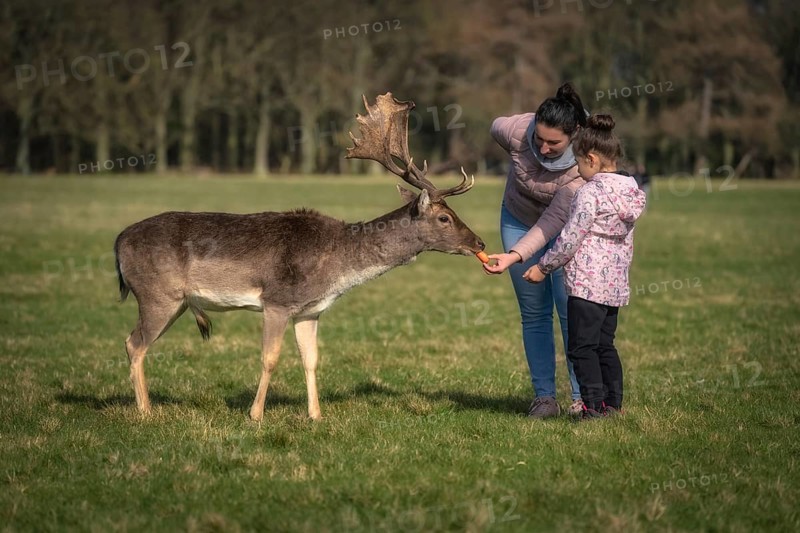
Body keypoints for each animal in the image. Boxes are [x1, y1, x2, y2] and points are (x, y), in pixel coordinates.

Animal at [114, 92, 485, 421]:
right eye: (445, 218)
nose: (479, 242)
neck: (335, 268)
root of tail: (118, 241)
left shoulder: (310, 311)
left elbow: (311, 359)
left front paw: (316, 416)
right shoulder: (277, 301)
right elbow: (270, 358)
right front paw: (256, 415)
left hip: (176, 301)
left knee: (136, 343)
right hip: (157, 294)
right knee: (134, 343)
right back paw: (146, 412)